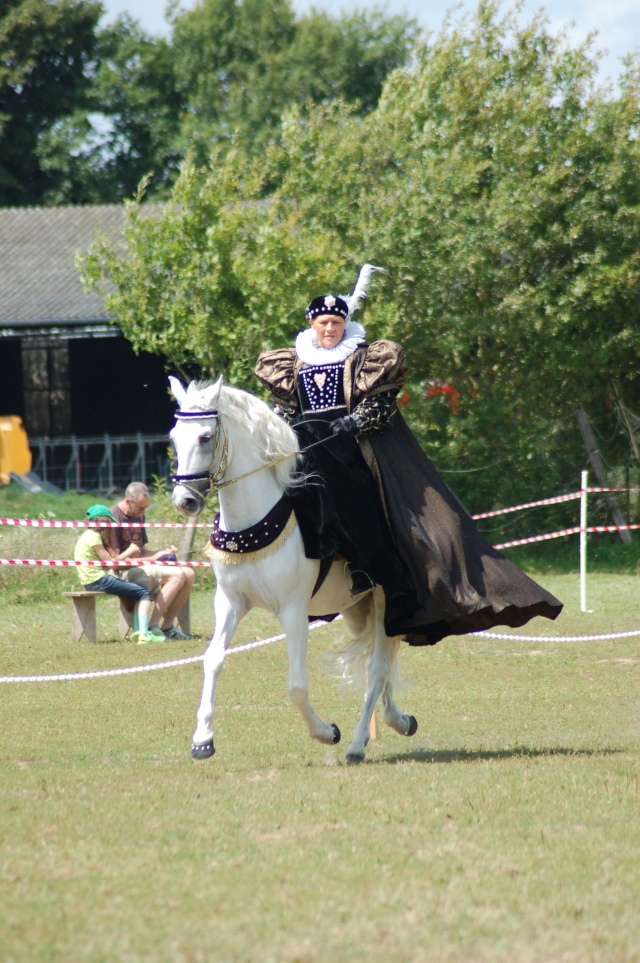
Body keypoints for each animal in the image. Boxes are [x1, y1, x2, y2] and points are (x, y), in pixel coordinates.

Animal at [169, 380, 420, 764]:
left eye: (205, 437)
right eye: (174, 437)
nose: (185, 501)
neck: (254, 521)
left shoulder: (293, 610)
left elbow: (297, 686)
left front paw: (327, 732)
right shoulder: (229, 602)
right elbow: (212, 660)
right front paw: (202, 739)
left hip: (382, 596)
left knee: (377, 668)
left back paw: (357, 744)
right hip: (355, 607)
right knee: (381, 664)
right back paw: (398, 719)